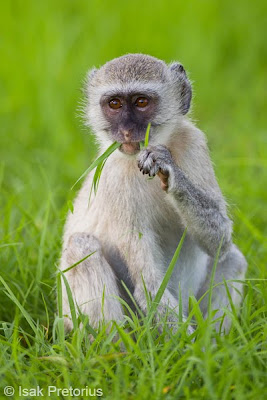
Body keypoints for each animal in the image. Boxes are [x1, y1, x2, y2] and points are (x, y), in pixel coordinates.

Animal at [59, 54, 248, 332]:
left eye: (141, 102)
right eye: (114, 103)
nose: (127, 130)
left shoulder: (194, 143)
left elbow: (220, 242)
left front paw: (168, 169)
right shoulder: (114, 178)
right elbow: (149, 289)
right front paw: (192, 346)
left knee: (233, 258)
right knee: (81, 246)